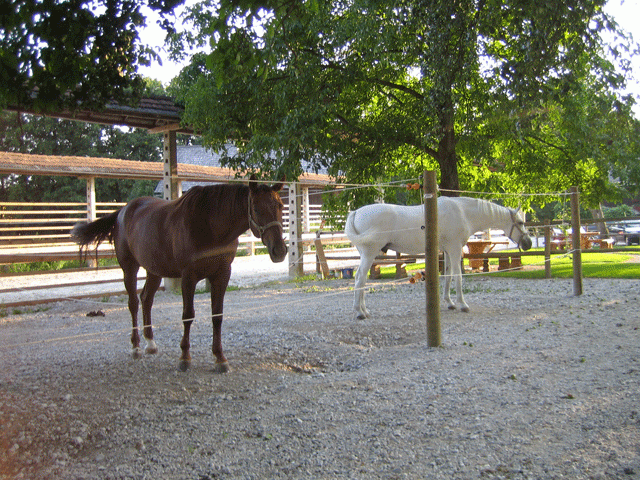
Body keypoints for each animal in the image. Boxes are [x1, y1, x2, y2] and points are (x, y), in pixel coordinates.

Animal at [70, 175, 288, 372]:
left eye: (280, 206)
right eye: (256, 209)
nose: (279, 250)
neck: (209, 223)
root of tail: (123, 211)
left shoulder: (222, 275)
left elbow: (217, 315)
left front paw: (220, 357)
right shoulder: (188, 277)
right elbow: (188, 315)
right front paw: (185, 357)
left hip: (154, 270)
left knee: (146, 299)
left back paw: (151, 343)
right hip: (129, 267)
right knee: (133, 303)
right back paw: (136, 347)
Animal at [348, 196, 532, 318]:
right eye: (521, 223)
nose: (528, 243)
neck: (463, 212)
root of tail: (355, 212)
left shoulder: (447, 251)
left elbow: (448, 276)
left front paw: (450, 303)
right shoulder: (455, 248)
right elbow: (458, 276)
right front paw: (463, 305)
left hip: (366, 254)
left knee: (361, 280)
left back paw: (365, 310)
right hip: (369, 253)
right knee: (360, 279)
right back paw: (359, 312)